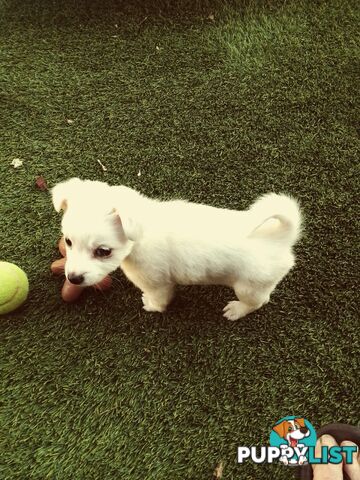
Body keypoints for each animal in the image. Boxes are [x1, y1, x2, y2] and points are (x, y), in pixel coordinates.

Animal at [52, 178, 302, 320]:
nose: (73, 279)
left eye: (103, 251)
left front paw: (152, 306)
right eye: (68, 241)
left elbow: (160, 300)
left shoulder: (157, 284)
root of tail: (280, 237)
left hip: (249, 287)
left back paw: (237, 310)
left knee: (259, 302)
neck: (141, 237)